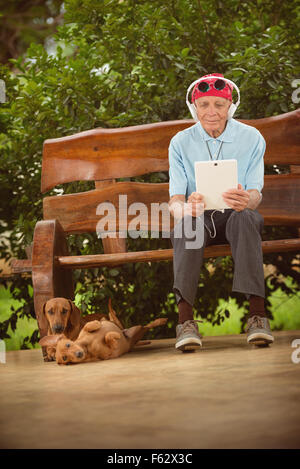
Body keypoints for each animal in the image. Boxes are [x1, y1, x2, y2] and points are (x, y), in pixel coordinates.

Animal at [39, 302, 169, 364]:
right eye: (65, 358)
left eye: (68, 344)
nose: (79, 354)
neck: (87, 346)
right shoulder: (108, 353)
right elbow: (108, 339)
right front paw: (113, 337)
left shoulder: (84, 331)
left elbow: (88, 326)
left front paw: (97, 324)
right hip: (138, 332)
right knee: (147, 326)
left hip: (135, 327)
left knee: (149, 324)